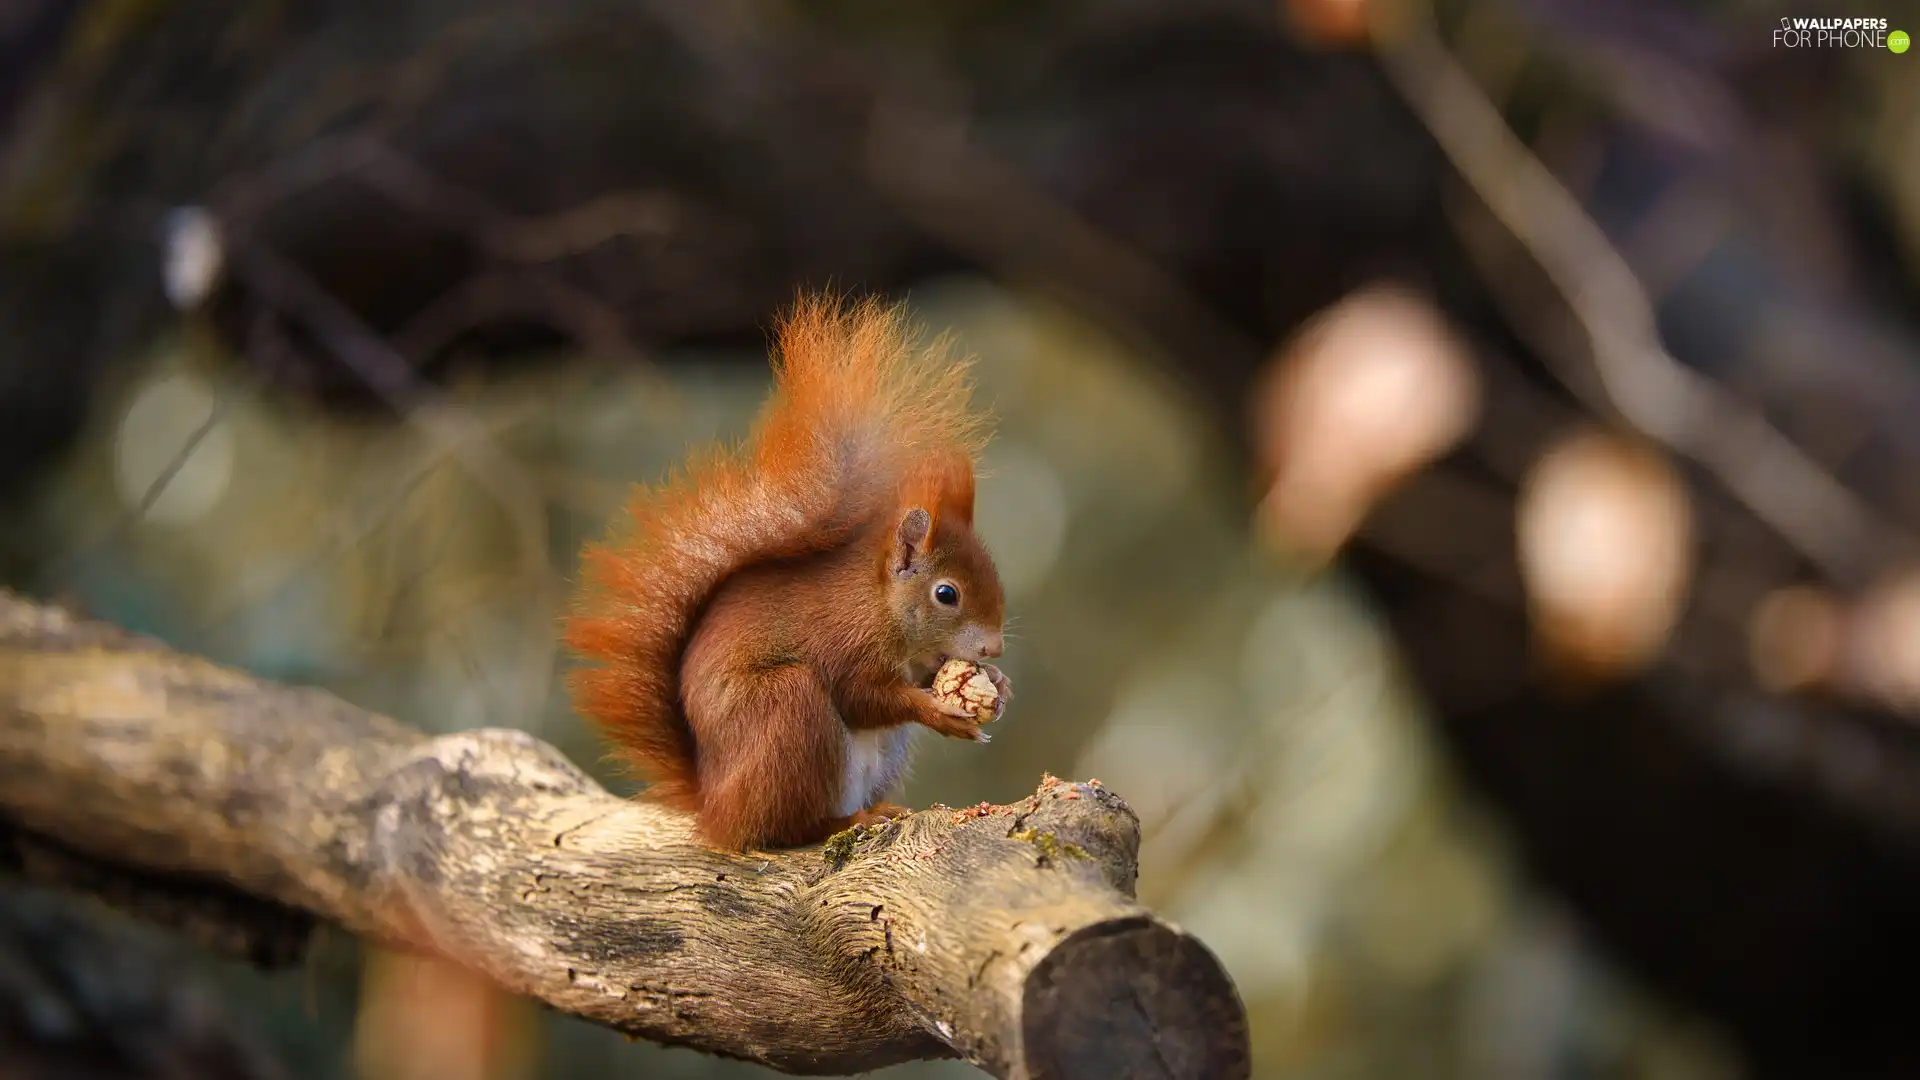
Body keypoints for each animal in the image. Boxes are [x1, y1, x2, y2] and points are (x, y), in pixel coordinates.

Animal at [560, 294, 1013, 849]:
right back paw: (847, 821)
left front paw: (998, 684)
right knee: (784, 828)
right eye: (946, 594)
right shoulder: (842, 641)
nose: (993, 648)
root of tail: (714, 808)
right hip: (787, 713)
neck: (881, 606)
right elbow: (862, 698)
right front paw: (942, 711)